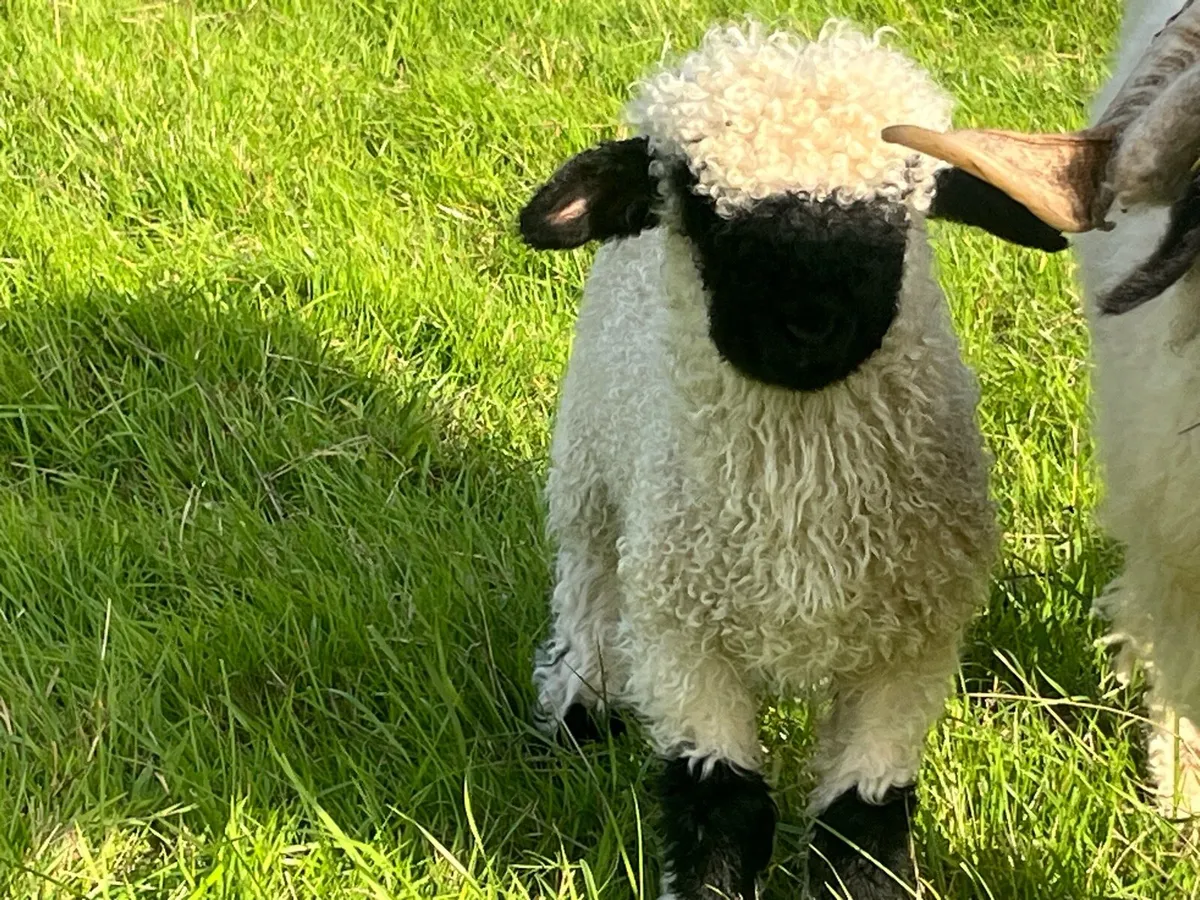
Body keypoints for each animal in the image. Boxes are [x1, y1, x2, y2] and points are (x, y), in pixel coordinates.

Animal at [518, 21, 1068, 899]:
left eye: (904, 202)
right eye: (698, 200)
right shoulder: (683, 636)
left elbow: (862, 821)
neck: (798, 501)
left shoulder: (908, 649)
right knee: (588, 587)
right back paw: (579, 707)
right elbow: (719, 805)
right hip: (590, 469)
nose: (809, 323)